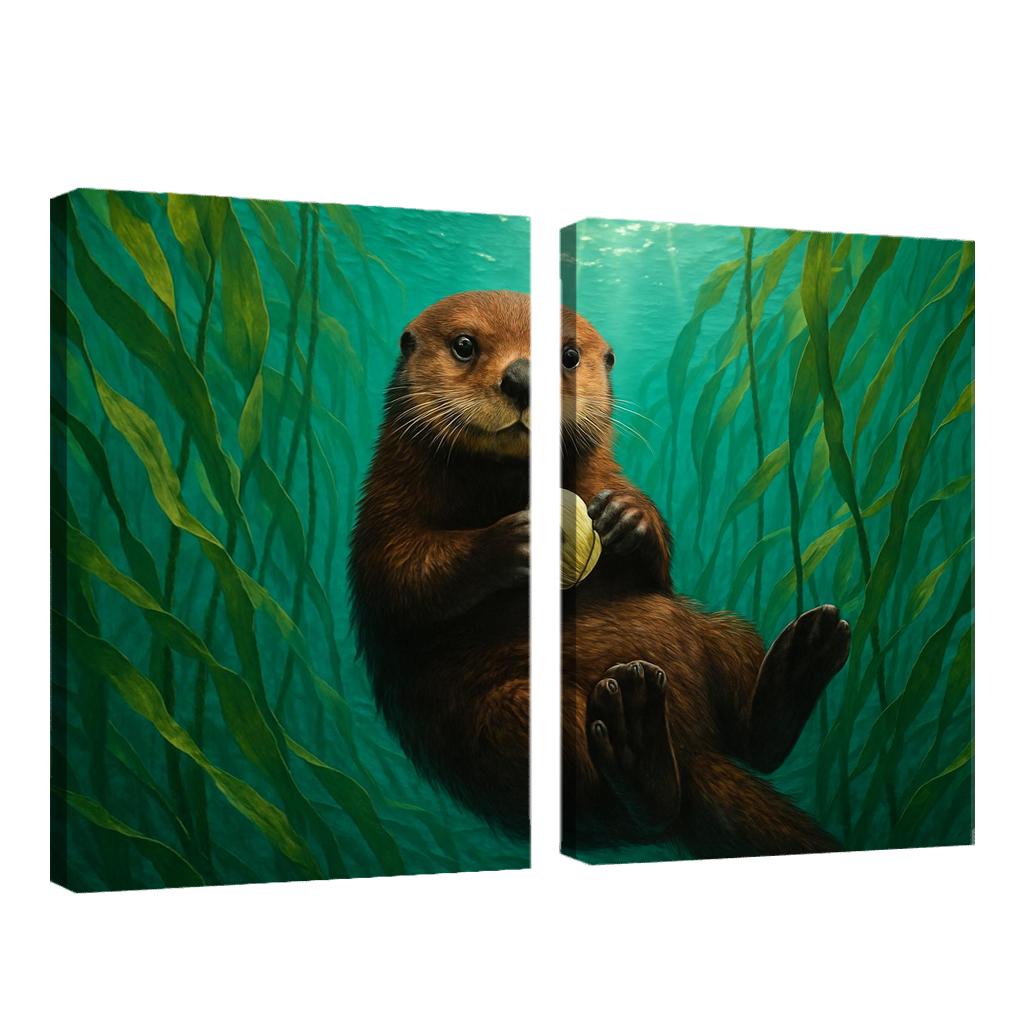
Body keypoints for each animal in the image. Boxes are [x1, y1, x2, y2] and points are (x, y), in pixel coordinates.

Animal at [350, 290, 849, 857]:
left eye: (569, 355)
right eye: (464, 346)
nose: (523, 378)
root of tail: (694, 751)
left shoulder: (608, 479)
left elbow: (659, 573)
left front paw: (630, 518)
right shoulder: (385, 510)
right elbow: (400, 572)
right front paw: (511, 540)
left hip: (717, 632)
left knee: (751, 738)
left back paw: (801, 658)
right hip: (510, 718)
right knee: (633, 805)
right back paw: (638, 741)